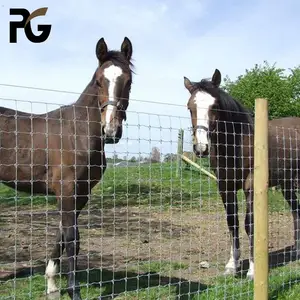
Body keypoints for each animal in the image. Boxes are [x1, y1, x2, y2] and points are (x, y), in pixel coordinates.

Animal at [0, 36, 134, 298]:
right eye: (98, 81)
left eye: (128, 81)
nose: (111, 131)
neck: (76, 133)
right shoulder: (67, 192)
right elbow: (72, 239)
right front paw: (74, 291)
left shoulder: (81, 193)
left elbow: (64, 235)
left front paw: (52, 283)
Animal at [183, 68, 300, 278]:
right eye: (190, 107)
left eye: (215, 106)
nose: (201, 148)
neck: (238, 143)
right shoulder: (225, 186)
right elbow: (232, 222)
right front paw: (232, 265)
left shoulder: (251, 186)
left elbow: (250, 223)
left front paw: (253, 270)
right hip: (286, 184)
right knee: (296, 210)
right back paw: (297, 250)